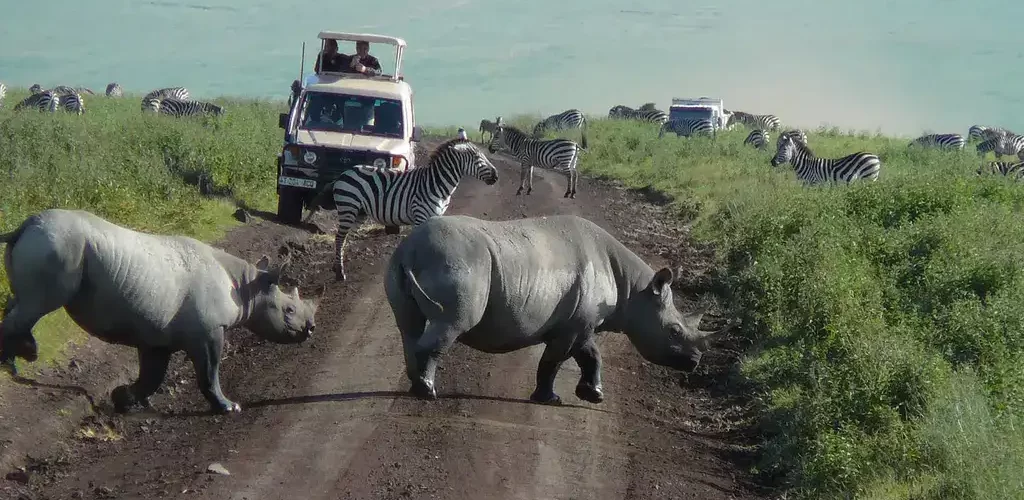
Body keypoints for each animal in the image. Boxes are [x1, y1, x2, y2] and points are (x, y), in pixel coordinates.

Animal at [0, 209, 320, 414]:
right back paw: (10, 364)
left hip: (50, 243)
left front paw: (124, 399)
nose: (311, 329)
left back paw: (25, 354)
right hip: (58, 246)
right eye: (289, 310)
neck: (245, 288)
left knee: (23, 301)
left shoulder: (156, 338)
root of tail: (25, 225)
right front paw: (229, 407)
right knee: (39, 303)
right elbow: (209, 372)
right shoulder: (208, 331)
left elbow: (152, 376)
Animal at [327, 138, 498, 281]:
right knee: (339, 237)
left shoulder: (435, 216)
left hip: (359, 212)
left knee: (344, 237)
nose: (496, 176)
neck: (436, 184)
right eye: (477, 158)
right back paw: (340, 273)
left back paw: (337, 265)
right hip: (348, 207)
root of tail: (346, 171)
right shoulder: (420, 216)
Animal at [384, 214, 733, 404]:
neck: (636, 291)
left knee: (409, 327)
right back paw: (428, 392)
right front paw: (549, 399)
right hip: (459, 264)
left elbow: (590, 355)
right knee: (449, 324)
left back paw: (416, 386)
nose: (694, 362)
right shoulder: (573, 326)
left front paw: (593, 395)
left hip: (406, 263)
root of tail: (410, 249)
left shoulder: (581, 322)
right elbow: (553, 361)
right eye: (674, 331)